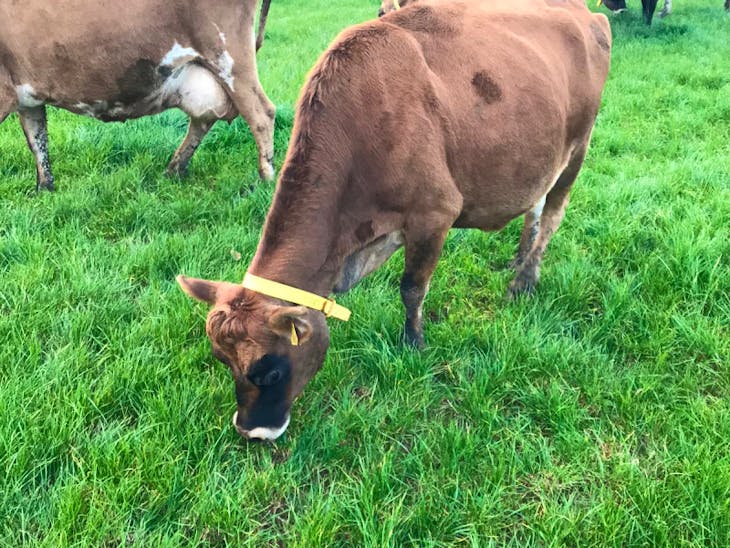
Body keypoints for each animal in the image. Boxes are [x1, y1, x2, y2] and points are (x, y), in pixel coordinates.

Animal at [0, 0, 275, 192]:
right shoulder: (26, 95)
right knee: (205, 118)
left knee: (261, 113)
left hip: (229, 56)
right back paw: (173, 170)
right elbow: (38, 140)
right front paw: (44, 189)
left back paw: (266, 180)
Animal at [178, 0, 612, 441]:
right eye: (222, 360)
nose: (251, 431)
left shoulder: (435, 212)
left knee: (554, 211)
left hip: (579, 144)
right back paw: (519, 258)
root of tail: (583, 11)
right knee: (536, 205)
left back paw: (524, 280)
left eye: (269, 372)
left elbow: (412, 289)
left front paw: (413, 343)